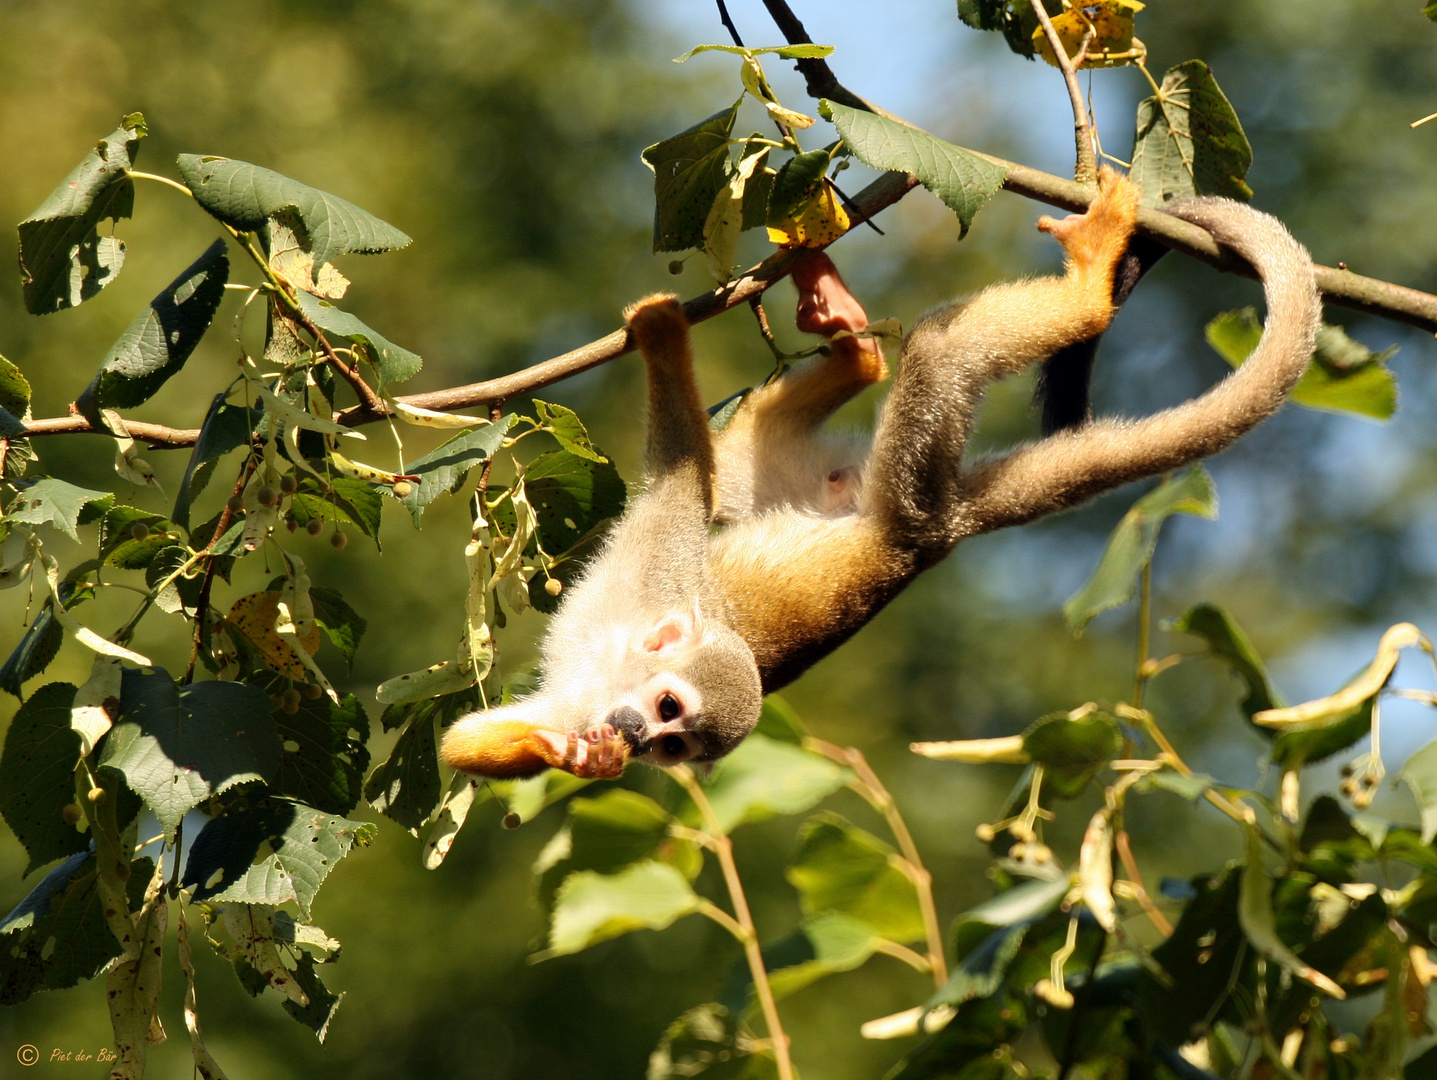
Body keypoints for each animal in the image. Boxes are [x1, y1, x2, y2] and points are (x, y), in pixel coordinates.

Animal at [442, 173, 1316, 787]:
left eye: (673, 736)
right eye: (662, 714)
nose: (636, 740)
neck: (615, 656)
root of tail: (937, 533)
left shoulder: (630, 620)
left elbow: (680, 473)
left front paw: (579, 757)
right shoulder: (643, 591)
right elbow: (682, 475)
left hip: (904, 479)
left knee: (930, 354)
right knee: (806, 422)